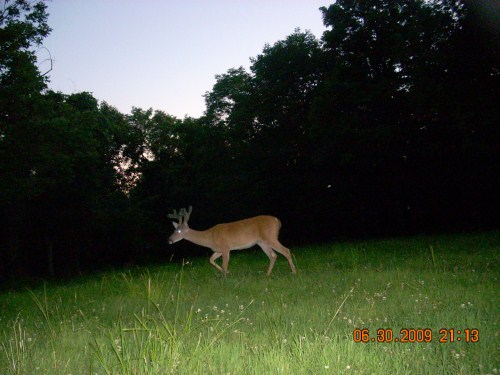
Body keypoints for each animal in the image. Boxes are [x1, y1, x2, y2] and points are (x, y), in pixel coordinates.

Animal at [167, 206, 296, 276]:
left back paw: (294, 272)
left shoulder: (225, 247)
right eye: (174, 230)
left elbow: (224, 264)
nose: (169, 240)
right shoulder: (218, 249)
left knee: (286, 251)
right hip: (262, 242)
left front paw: (225, 277)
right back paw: (267, 274)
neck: (209, 237)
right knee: (273, 255)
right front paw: (227, 273)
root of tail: (277, 221)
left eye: (179, 231)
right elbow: (211, 260)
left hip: (270, 237)